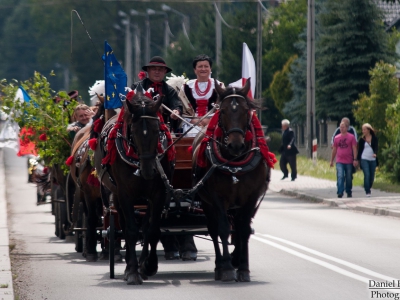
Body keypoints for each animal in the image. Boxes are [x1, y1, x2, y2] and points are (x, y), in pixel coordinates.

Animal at [95, 88, 175, 284]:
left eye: (158, 130)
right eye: (134, 130)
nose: (149, 170)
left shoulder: (158, 194)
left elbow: (152, 231)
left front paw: (149, 265)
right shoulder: (125, 194)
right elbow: (130, 230)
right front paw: (132, 271)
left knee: (145, 228)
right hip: (116, 195)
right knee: (124, 226)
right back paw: (129, 267)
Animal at [191, 79, 270, 282]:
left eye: (246, 110)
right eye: (223, 111)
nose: (235, 145)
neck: (235, 163)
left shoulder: (251, 198)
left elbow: (243, 229)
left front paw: (243, 268)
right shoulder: (218, 198)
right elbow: (224, 229)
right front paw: (226, 268)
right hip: (207, 203)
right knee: (213, 229)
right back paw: (220, 265)